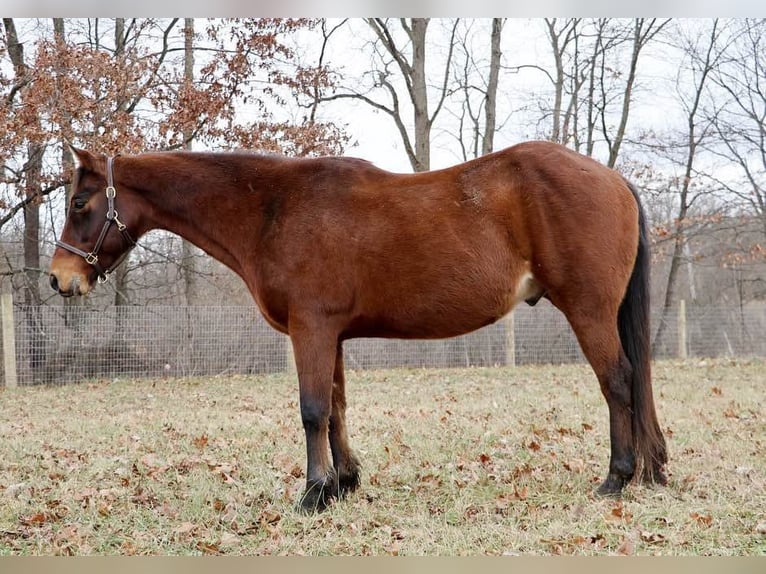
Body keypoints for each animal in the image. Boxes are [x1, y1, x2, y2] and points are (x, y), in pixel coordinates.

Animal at [49, 141, 668, 512]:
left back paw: (615, 479)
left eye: (80, 202)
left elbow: (312, 409)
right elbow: (338, 406)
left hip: (589, 311)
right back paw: (649, 471)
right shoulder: (332, 334)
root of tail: (612, 178)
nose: (59, 279)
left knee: (618, 381)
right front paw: (343, 483)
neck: (273, 208)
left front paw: (313, 493)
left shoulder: (312, 329)